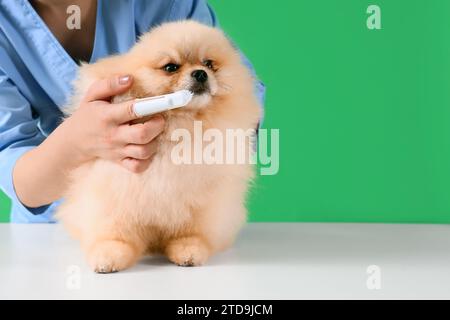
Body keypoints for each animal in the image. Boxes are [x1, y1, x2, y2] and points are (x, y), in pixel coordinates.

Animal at [56, 20, 260, 272]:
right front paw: (109, 254)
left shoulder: (202, 201)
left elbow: (191, 232)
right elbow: (115, 233)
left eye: (209, 64)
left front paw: (189, 249)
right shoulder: (115, 193)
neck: (180, 125)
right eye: (171, 67)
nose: (201, 73)